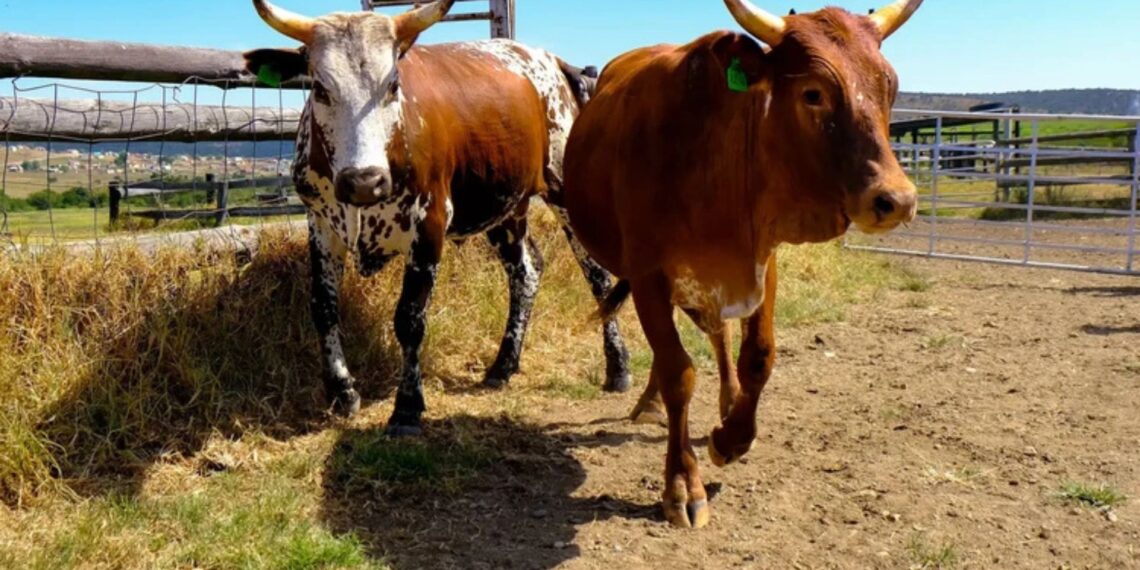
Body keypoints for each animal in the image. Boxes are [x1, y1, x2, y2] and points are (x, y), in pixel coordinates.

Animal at [244, 0, 631, 435]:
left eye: (393, 84)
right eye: (321, 88)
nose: (364, 182)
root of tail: (551, 61)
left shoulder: (428, 225)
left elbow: (410, 319)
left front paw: (407, 407)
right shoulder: (322, 225)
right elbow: (323, 307)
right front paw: (342, 391)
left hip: (565, 190)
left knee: (597, 275)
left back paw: (617, 367)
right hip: (503, 205)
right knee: (526, 271)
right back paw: (503, 365)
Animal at [563, 0, 924, 527]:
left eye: (890, 86)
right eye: (813, 92)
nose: (896, 200)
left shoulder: (760, 262)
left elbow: (758, 356)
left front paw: (732, 436)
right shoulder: (649, 274)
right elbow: (677, 371)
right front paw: (682, 483)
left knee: (720, 335)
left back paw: (727, 401)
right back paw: (652, 402)